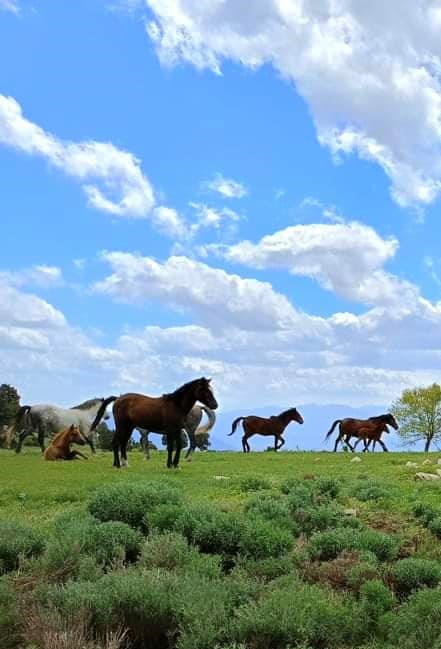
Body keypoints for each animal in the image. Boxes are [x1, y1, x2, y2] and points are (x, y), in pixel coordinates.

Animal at [90, 378, 218, 468]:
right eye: (205, 390)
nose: (215, 405)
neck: (175, 405)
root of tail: (117, 399)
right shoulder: (170, 430)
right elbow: (171, 447)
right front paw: (170, 464)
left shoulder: (176, 430)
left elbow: (177, 446)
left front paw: (174, 464)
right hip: (122, 426)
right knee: (116, 442)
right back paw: (117, 465)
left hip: (128, 427)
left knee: (122, 443)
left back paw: (125, 464)